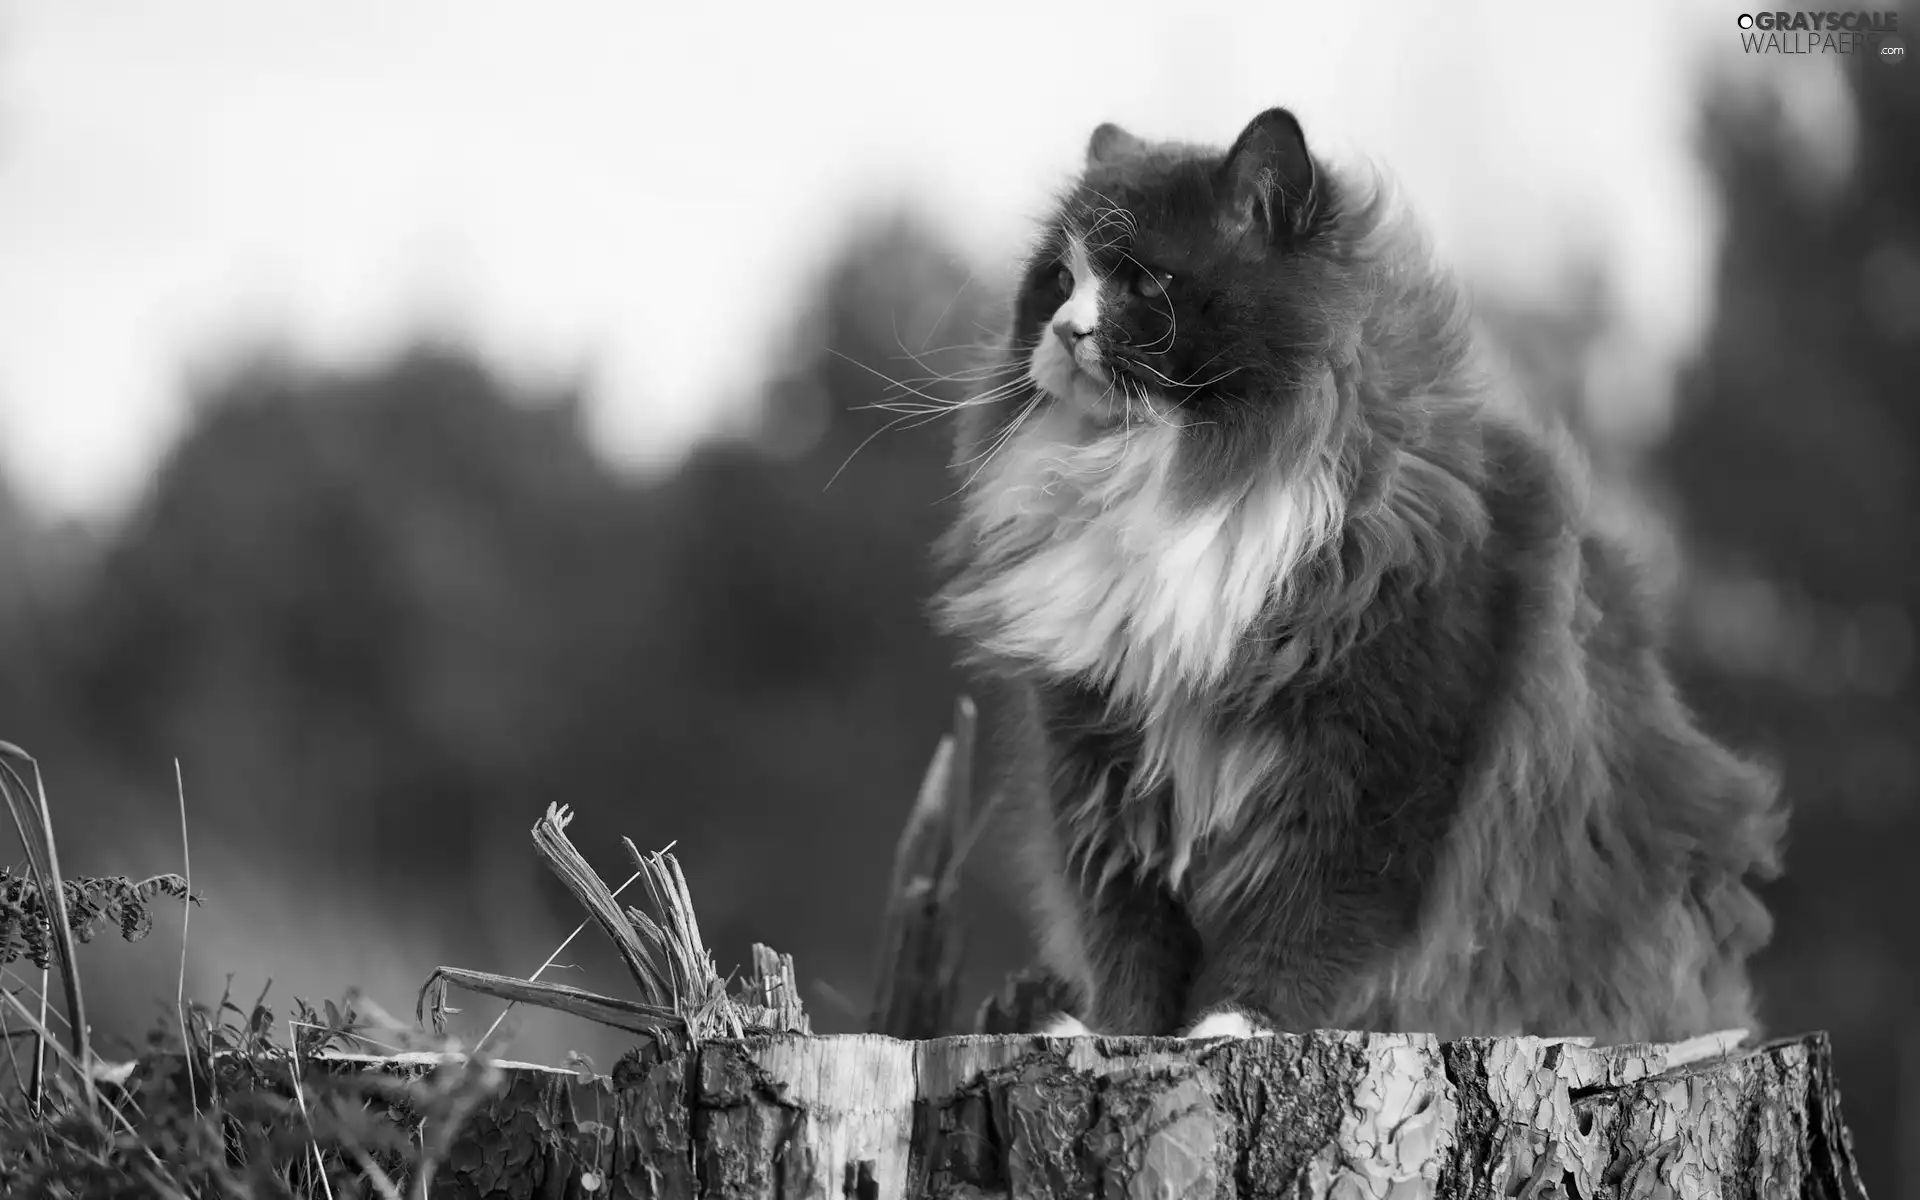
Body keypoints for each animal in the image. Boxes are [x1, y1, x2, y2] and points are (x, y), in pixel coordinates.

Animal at [929, 109, 1781, 1036]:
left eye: (1146, 284)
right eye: (1057, 280)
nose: (1066, 331)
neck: (1174, 485)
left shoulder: (1379, 778)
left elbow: (1302, 926)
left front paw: (1230, 1028)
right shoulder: (1107, 780)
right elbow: (1130, 941)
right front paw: (1123, 1035)